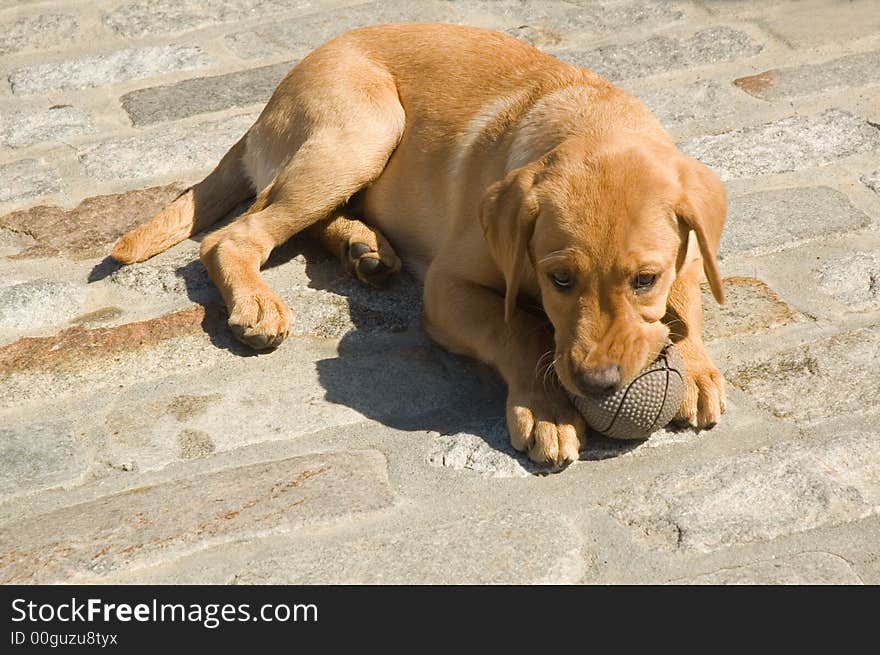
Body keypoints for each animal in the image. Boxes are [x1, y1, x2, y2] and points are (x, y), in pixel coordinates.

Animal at [113, 23, 724, 468]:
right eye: (560, 280)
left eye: (644, 279)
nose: (597, 384)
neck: (592, 123)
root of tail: (269, 102)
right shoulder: (448, 286)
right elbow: (517, 330)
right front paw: (545, 407)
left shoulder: (692, 254)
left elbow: (687, 302)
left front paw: (694, 367)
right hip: (365, 129)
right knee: (235, 234)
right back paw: (259, 303)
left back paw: (364, 247)